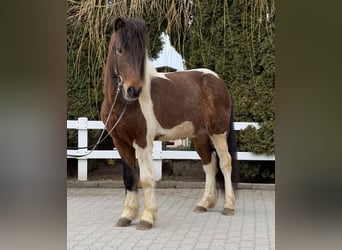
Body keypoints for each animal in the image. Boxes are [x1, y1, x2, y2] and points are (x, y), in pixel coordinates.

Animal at [100, 16, 236, 229]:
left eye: (142, 53)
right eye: (120, 50)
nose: (133, 90)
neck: (123, 104)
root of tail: (217, 80)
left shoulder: (142, 142)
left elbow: (146, 179)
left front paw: (147, 218)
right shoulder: (120, 142)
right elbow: (129, 177)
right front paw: (127, 215)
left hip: (218, 132)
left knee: (225, 163)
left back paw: (229, 206)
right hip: (199, 136)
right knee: (210, 165)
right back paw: (204, 204)